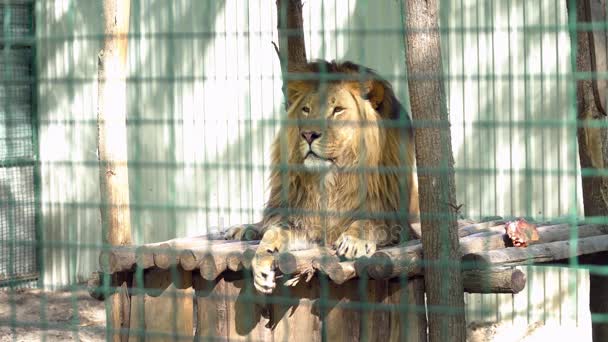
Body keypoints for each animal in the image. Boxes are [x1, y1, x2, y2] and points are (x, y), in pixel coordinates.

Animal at [226, 59, 420, 294]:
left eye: (338, 110)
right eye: (306, 109)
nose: (308, 134)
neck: (331, 180)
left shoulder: (396, 222)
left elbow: (370, 223)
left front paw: (353, 240)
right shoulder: (303, 223)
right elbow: (273, 232)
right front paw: (263, 262)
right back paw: (243, 229)